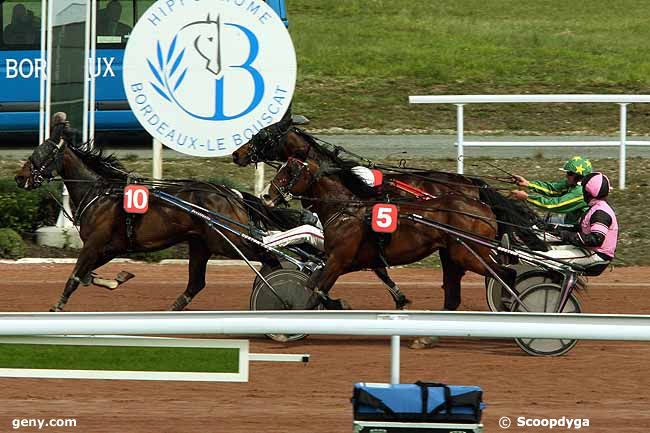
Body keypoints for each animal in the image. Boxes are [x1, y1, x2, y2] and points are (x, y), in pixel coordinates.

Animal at [15, 127, 294, 310]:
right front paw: (118, 278)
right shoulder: (110, 247)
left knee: (269, 258)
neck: (99, 194)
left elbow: (74, 276)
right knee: (196, 283)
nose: (20, 177)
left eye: (42, 153)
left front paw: (57, 307)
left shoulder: (94, 244)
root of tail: (231, 194)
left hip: (227, 241)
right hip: (201, 243)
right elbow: (86, 276)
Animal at [260, 155, 512, 310]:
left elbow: (316, 291)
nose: (265, 195)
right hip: (453, 253)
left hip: (467, 253)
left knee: (504, 273)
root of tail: (483, 206)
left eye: (288, 171)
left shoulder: (339, 259)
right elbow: (316, 284)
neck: (346, 210)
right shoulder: (353, 260)